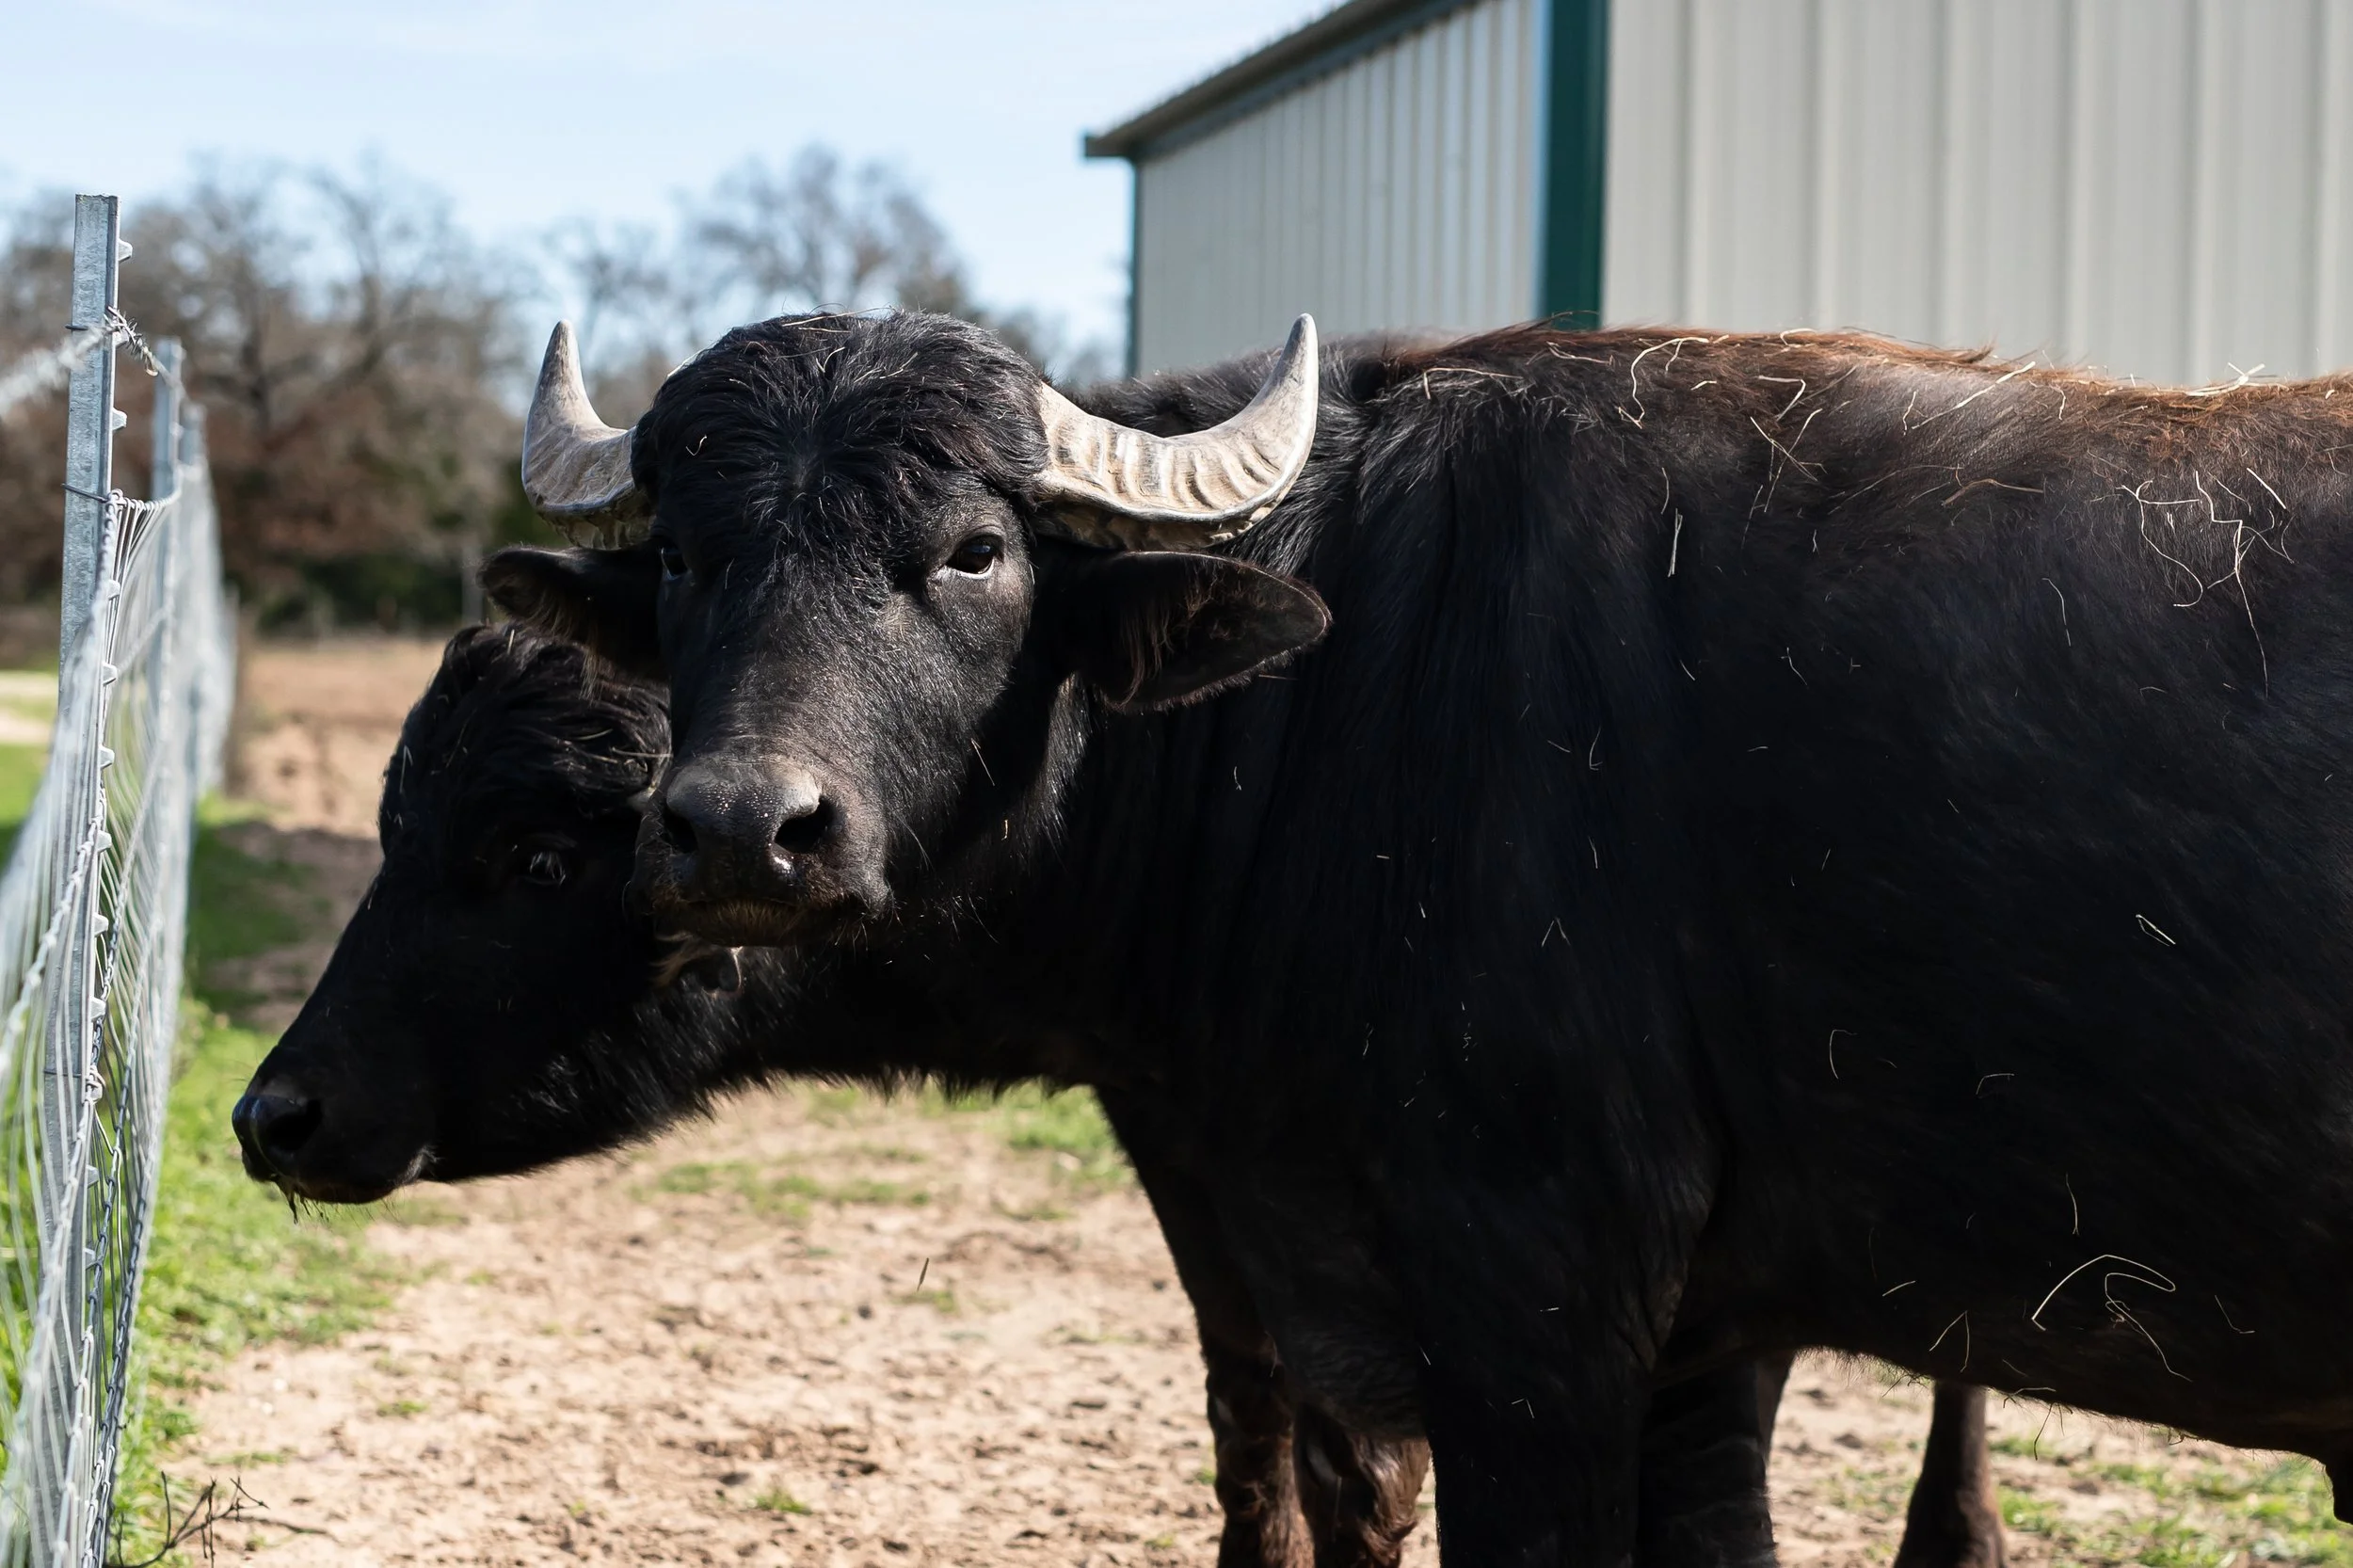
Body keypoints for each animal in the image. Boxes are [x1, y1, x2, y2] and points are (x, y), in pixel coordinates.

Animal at [474, 308, 2353, 1563]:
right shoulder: (1698, 1344)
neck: (1358, 677)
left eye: (975, 550)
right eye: (689, 558)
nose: (739, 830)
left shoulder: (1534, 1308)